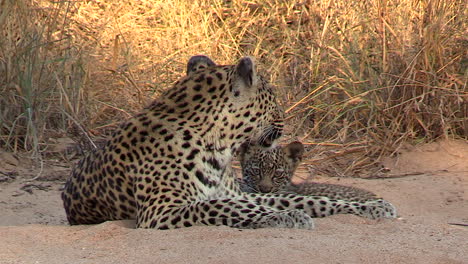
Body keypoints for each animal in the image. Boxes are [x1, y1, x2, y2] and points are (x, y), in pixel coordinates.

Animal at [61, 55, 394, 229]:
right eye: (273, 97)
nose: (284, 119)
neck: (218, 147)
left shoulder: (242, 193)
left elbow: (302, 199)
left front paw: (372, 207)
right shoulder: (162, 212)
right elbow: (228, 209)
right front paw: (287, 217)